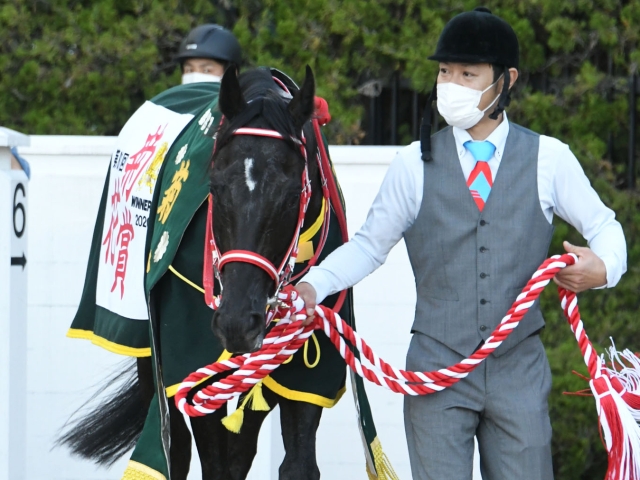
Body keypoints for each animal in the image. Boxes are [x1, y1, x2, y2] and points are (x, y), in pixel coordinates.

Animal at [59, 66, 348, 480]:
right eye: (215, 186)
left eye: (293, 195)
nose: (237, 322)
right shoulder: (190, 369)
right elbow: (212, 463)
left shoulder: (309, 376)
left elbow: (296, 463)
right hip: (151, 355)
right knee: (174, 449)